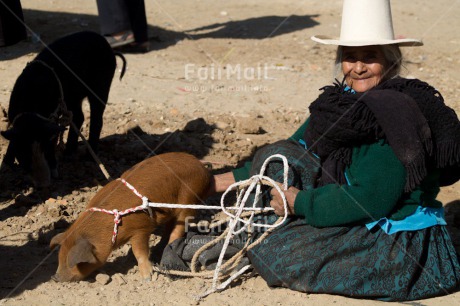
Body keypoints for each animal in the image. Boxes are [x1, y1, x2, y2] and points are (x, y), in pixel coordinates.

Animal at [0, 31, 126, 189]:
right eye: (23, 153)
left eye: (45, 147)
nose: (43, 184)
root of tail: (109, 48)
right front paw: (6, 164)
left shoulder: (52, 119)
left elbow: (53, 138)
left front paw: (55, 172)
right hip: (73, 98)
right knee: (79, 117)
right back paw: (68, 153)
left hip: (101, 84)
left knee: (96, 118)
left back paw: (88, 157)